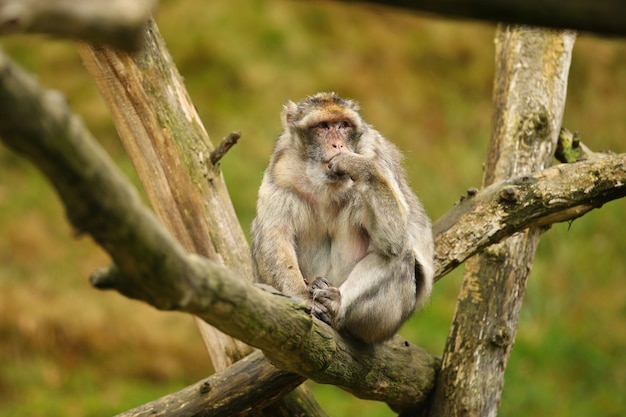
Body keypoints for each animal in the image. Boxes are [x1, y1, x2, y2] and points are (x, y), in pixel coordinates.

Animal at [251, 92, 432, 342]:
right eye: (323, 126)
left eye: (343, 125)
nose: (338, 144)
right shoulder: (281, 168)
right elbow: (274, 237)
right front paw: (302, 296)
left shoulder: (376, 154)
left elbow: (395, 237)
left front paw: (358, 165)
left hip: (382, 321)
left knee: (399, 252)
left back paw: (336, 304)